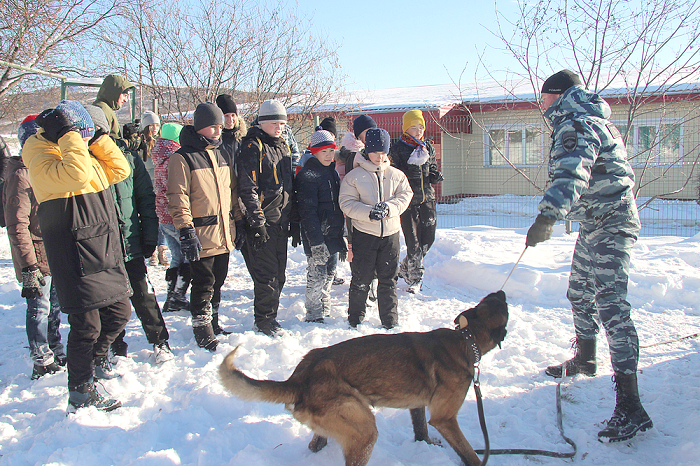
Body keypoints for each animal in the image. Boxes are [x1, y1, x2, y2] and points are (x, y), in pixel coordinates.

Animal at [220, 290, 508, 464]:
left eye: (490, 299)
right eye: (503, 306)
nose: (502, 292)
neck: (465, 338)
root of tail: (300, 377)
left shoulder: (418, 406)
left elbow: (421, 430)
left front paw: (426, 445)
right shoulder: (445, 419)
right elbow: (470, 453)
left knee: (315, 446)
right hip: (365, 431)